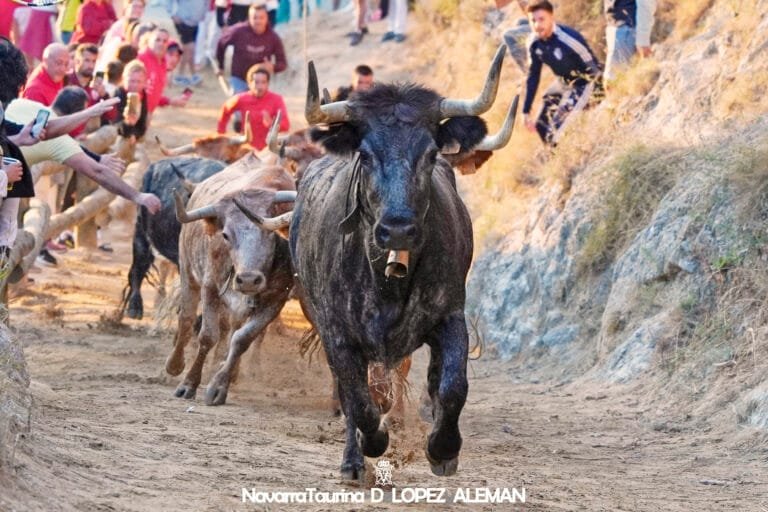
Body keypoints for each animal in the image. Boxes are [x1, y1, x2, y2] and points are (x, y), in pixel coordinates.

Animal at [164, 152, 296, 406]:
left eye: (270, 233)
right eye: (226, 234)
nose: (248, 280)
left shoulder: (276, 300)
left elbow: (242, 339)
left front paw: (219, 386)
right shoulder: (210, 287)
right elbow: (207, 335)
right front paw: (188, 384)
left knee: (230, 327)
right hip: (187, 272)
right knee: (186, 318)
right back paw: (174, 364)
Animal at [239, 45, 517, 480]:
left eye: (431, 153)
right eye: (366, 155)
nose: (398, 229)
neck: (388, 279)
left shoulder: (449, 316)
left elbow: (451, 385)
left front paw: (443, 449)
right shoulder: (337, 333)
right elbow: (358, 399)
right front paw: (373, 442)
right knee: (351, 393)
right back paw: (354, 462)